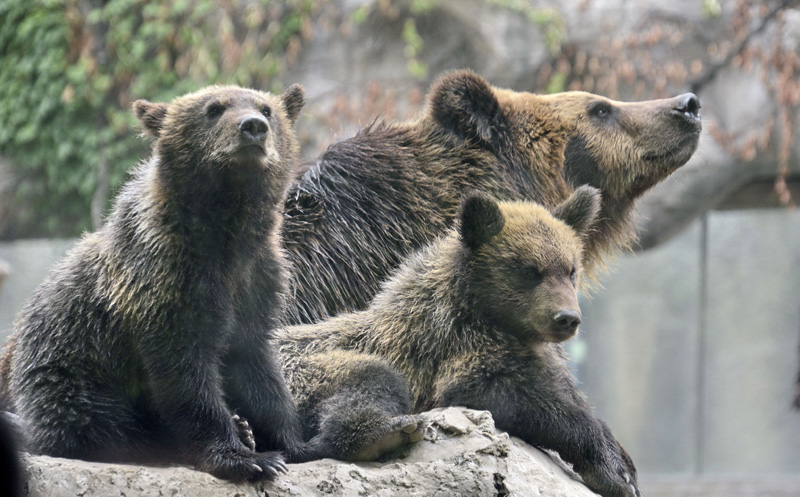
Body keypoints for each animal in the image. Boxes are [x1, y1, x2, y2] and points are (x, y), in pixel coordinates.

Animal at [0, 84, 310, 480]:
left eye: (267, 109)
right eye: (213, 109)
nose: (253, 127)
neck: (225, 235)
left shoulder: (256, 280)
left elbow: (257, 365)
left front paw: (292, 444)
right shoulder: (163, 283)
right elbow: (185, 374)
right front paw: (245, 457)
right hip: (70, 374)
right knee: (97, 422)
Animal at [278, 186, 640, 496]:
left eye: (570, 268)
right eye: (529, 270)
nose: (566, 318)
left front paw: (621, 462)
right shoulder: (455, 352)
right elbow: (507, 394)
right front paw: (611, 471)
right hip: (300, 371)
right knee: (369, 379)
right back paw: (384, 433)